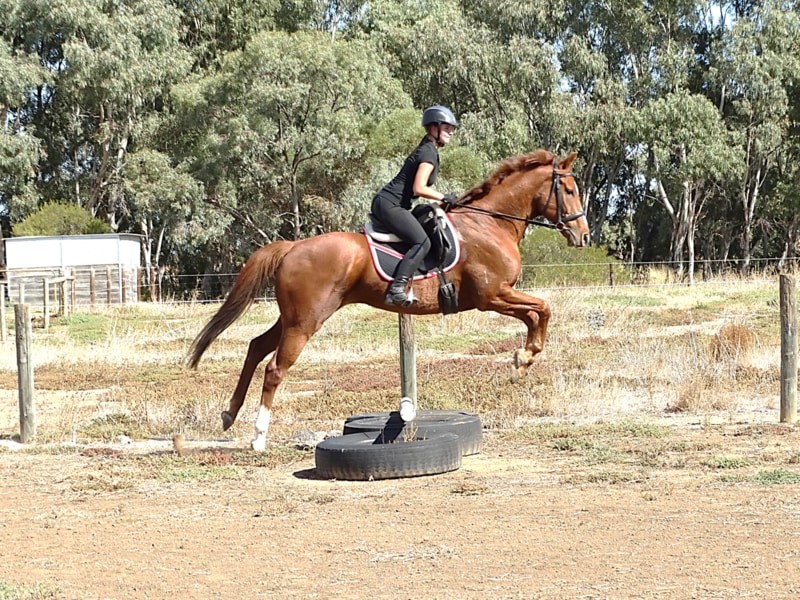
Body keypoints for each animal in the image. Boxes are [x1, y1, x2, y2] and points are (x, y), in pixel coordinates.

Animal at [188, 149, 588, 450]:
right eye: (569, 189)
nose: (583, 235)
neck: (490, 224)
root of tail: (292, 247)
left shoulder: (500, 295)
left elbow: (538, 314)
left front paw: (523, 359)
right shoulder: (493, 295)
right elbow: (542, 310)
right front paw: (523, 358)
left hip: (293, 317)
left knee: (256, 347)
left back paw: (230, 414)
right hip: (306, 320)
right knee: (274, 368)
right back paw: (258, 436)